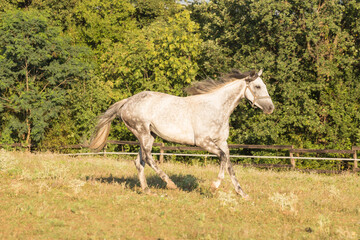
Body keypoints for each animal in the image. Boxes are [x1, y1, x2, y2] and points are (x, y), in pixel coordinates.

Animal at [89, 68, 272, 198]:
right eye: (257, 86)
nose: (271, 108)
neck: (216, 107)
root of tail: (127, 101)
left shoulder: (222, 142)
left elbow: (229, 164)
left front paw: (243, 194)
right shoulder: (203, 142)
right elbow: (223, 158)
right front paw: (214, 187)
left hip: (148, 135)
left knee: (139, 162)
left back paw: (147, 190)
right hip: (142, 132)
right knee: (148, 158)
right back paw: (170, 184)